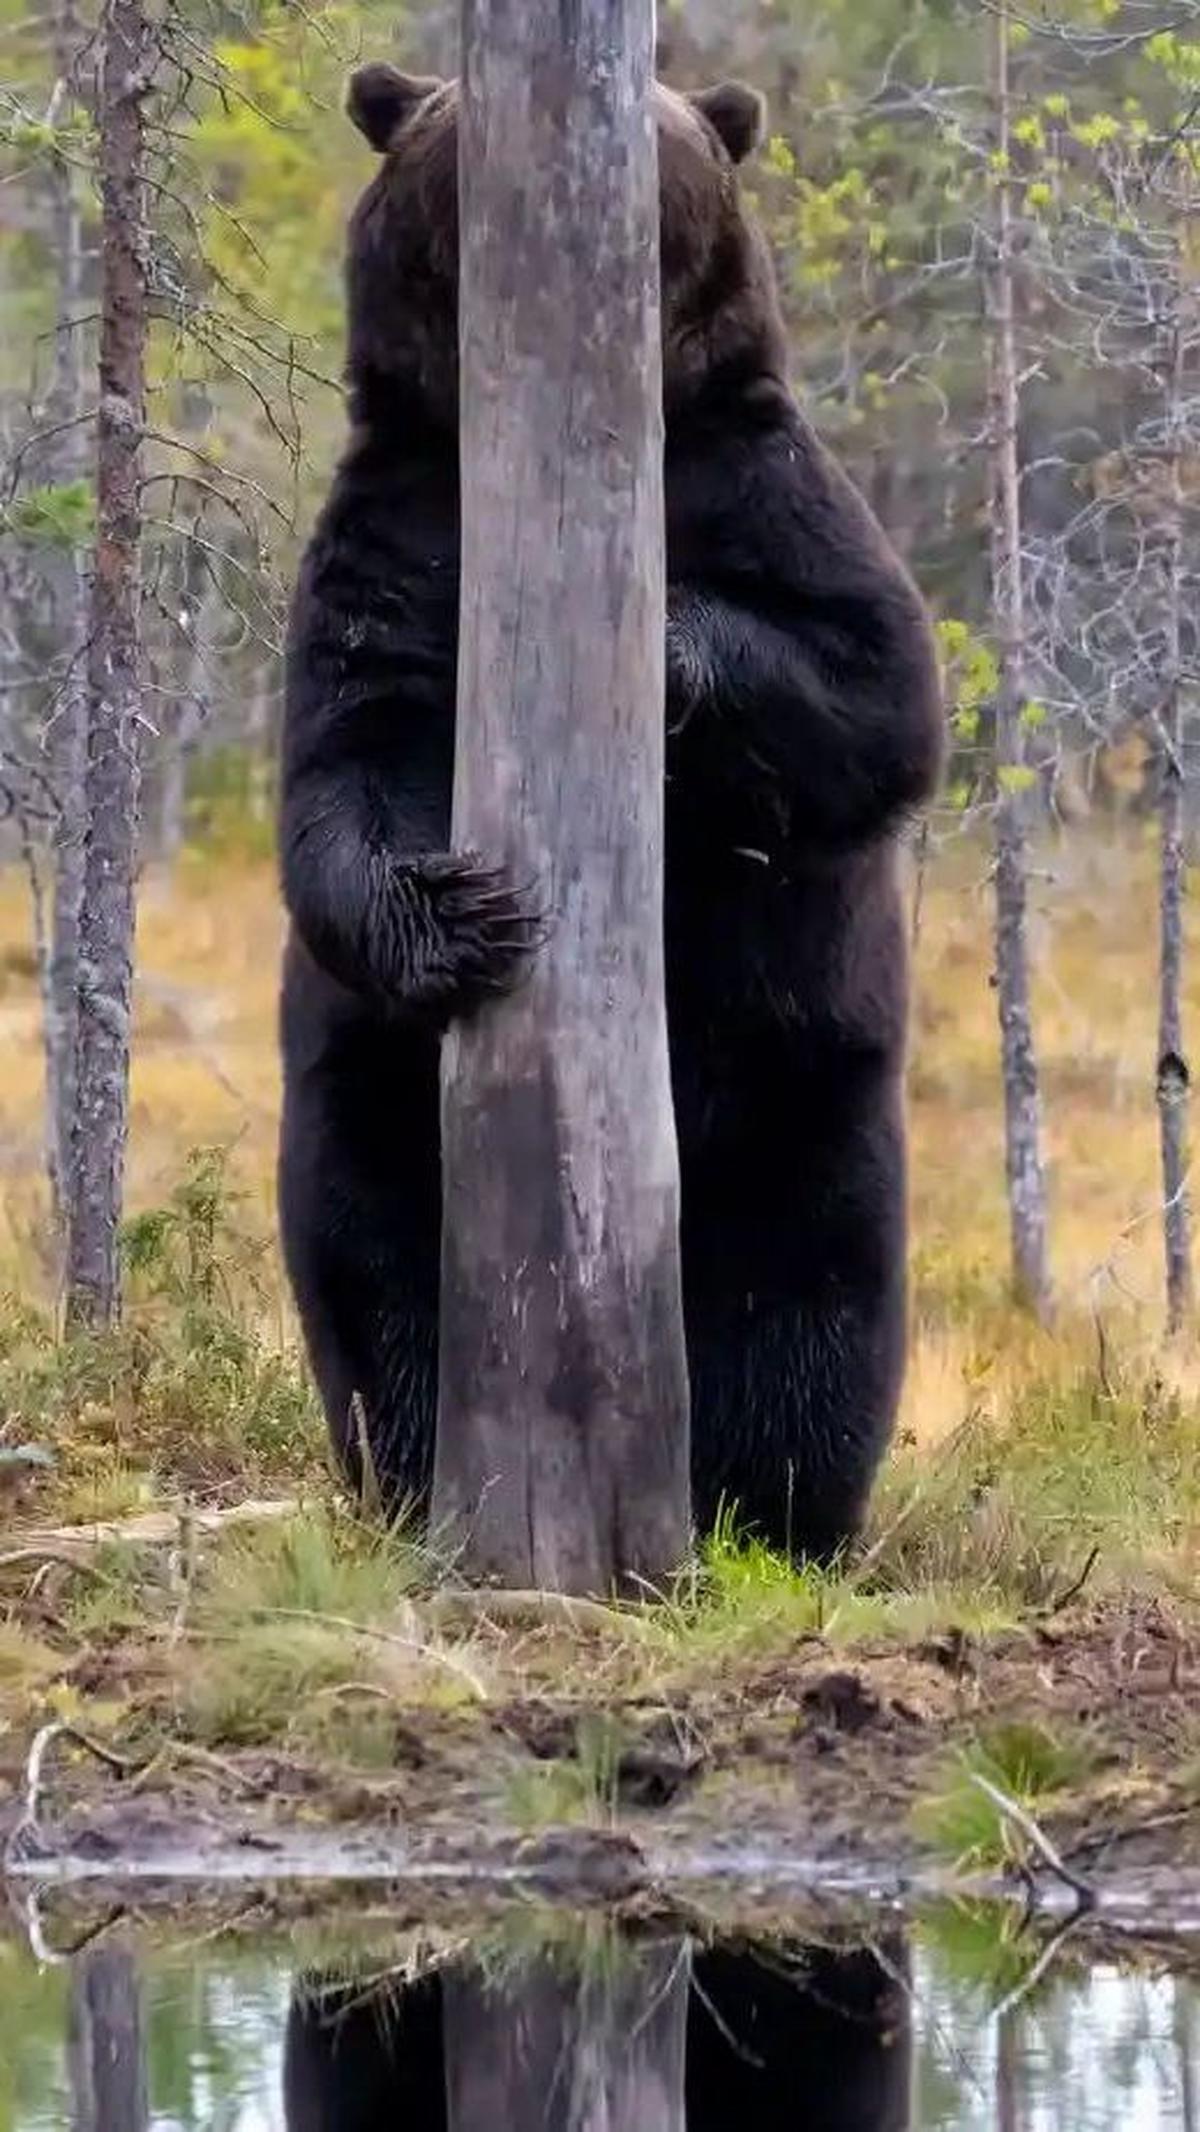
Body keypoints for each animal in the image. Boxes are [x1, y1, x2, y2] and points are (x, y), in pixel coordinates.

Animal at [278, 64, 943, 1564]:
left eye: (668, 128)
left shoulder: (763, 484)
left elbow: (874, 686)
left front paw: (669, 642)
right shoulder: (399, 534)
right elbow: (346, 761)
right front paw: (463, 911)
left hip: (803, 1096)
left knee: (810, 1305)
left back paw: (776, 1510)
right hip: (374, 1110)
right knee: (376, 1273)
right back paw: (419, 1471)